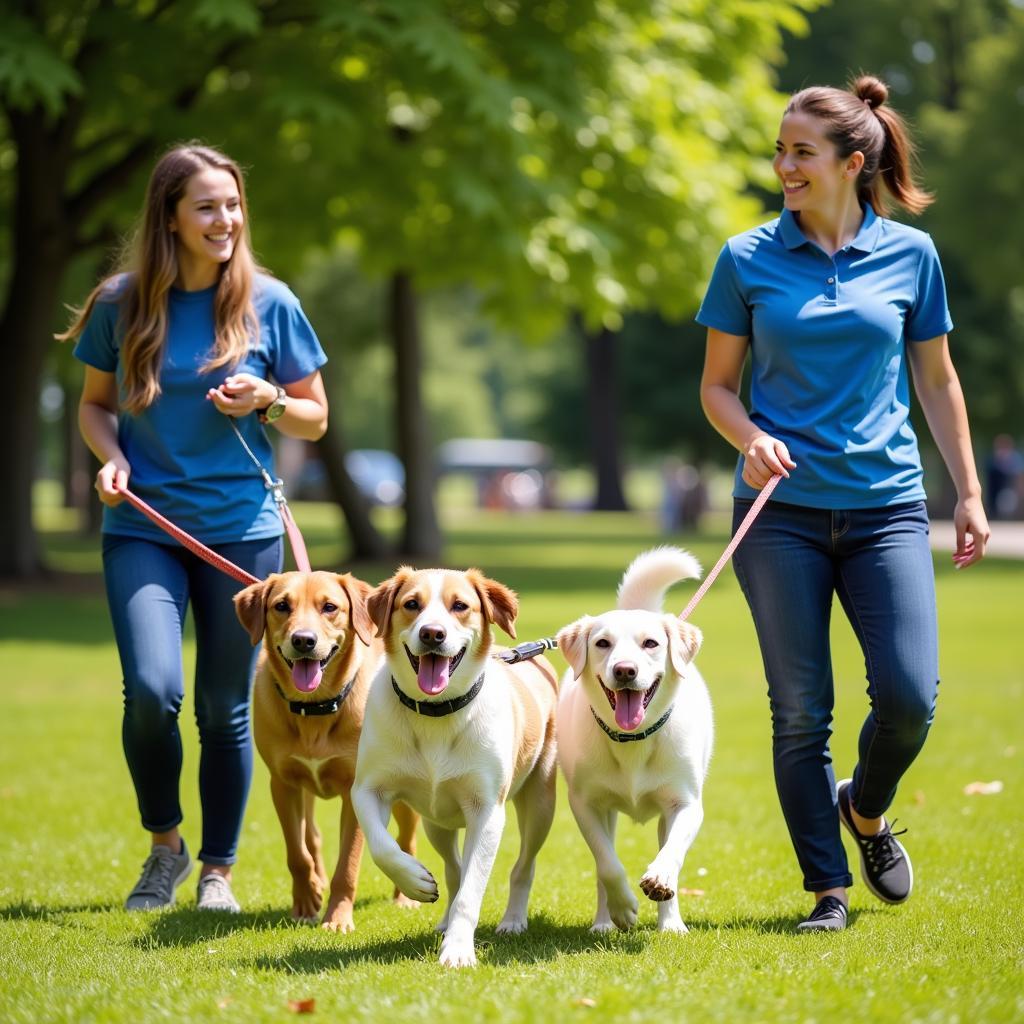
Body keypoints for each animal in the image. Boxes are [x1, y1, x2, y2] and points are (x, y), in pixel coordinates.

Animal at [235, 573, 419, 933]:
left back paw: (406, 896)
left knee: (407, 839)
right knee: (312, 836)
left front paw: (337, 918)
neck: (315, 708)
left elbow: (347, 864)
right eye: (281, 606)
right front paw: (306, 900)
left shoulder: (356, 791)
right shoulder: (283, 784)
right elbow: (297, 852)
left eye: (330, 607)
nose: (303, 640)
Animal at [352, 569, 561, 966]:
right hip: (436, 822)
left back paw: (512, 920)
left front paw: (459, 949)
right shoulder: (369, 788)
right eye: (411, 604)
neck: (437, 712)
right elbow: (382, 846)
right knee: (453, 869)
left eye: (460, 605)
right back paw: (444, 916)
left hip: (540, 804)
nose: (432, 633)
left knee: (523, 865)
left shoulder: (487, 811)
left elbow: (471, 890)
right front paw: (415, 881)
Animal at [552, 552, 712, 937]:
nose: (625, 670)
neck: (632, 739)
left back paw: (670, 923)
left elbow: (673, 852)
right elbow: (607, 865)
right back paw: (604, 921)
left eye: (650, 643)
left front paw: (660, 879)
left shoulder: (686, 803)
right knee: (603, 864)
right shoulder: (586, 804)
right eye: (602, 643)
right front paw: (623, 908)